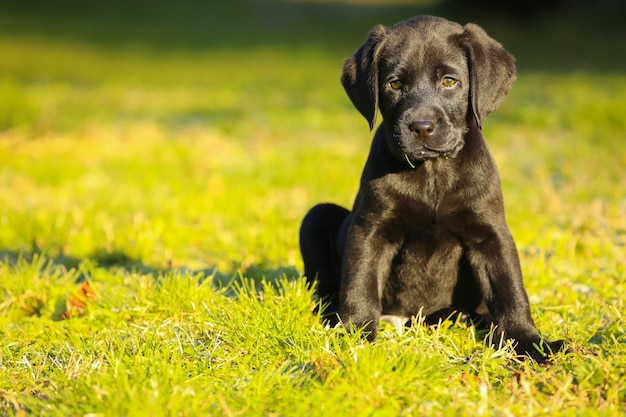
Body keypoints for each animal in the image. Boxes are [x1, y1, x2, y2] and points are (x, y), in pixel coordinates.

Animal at [298, 16, 564, 360]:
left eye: (449, 81)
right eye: (395, 84)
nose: (421, 128)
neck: (432, 172)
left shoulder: (491, 232)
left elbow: (510, 290)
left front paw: (528, 341)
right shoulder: (370, 228)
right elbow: (360, 284)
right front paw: (356, 335)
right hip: (315, 217)